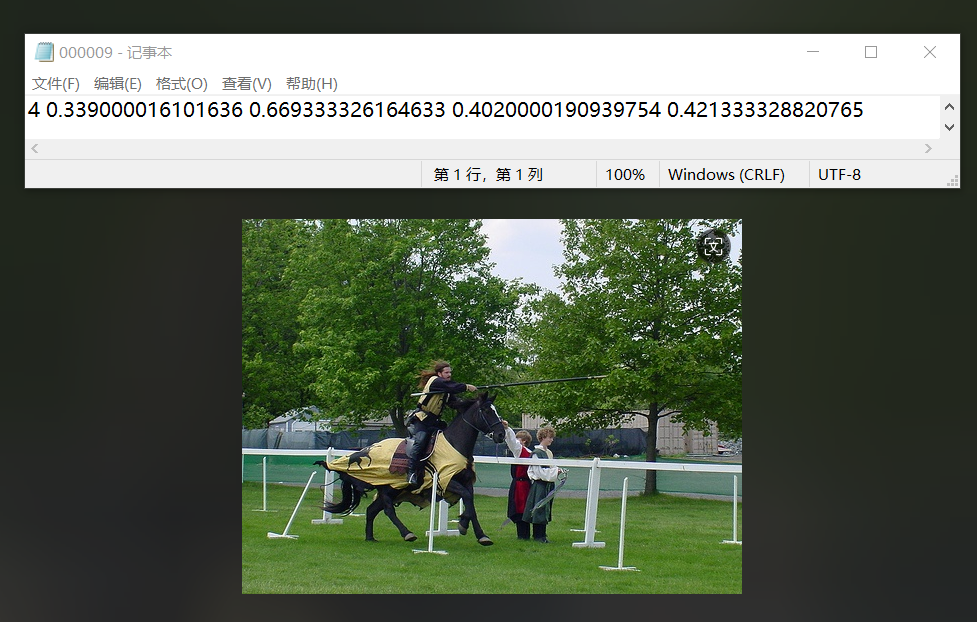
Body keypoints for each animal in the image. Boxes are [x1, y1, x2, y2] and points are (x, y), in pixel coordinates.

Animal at [314, 392, 506, 545]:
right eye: (487, 411)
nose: (501, 434)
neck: (454, 445)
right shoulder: (446, 481)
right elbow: (467, 498)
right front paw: (469, 528)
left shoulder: (465, 481)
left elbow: (470, 502)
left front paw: (475, 531)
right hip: (387, 489)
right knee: (388, 510)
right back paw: (407, 533)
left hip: (393, 490)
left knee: (372, 510)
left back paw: (370, 538)